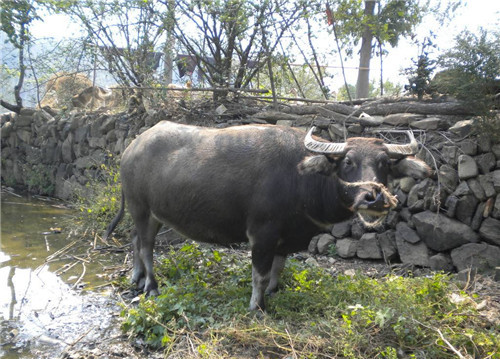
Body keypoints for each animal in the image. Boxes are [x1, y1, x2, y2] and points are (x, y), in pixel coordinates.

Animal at [104, 119, 430, 310]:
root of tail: (132, 147)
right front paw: (257, 306)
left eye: (385, 163)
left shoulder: (284, 239)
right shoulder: (261, 234)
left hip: (150, 214)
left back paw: (136, 277)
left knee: (135, 240)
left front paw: (274, 291)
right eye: (347, 162)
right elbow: (259, 274)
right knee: (146, 246)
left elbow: (278, 268)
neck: (302, 179)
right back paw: (151, 285)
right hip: (141, 208)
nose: (374, 197)